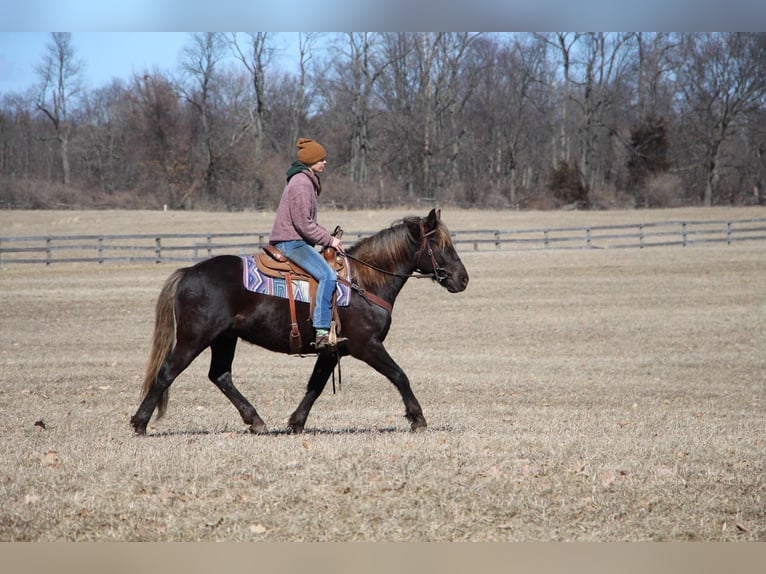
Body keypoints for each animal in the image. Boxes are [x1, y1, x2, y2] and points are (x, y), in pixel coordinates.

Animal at [129, 208, 468, 436]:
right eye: (439, 245)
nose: (462, 279)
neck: (365, 282)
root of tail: (189, 272)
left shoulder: (332, 350)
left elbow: (315, 386)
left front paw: (296, 422)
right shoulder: (367, 346)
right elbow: (400, 375)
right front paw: (417, 418)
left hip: (224, 338)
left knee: (220, 376)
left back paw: (256, 421)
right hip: (194, 338)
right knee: (167, 373)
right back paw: (140, 423)